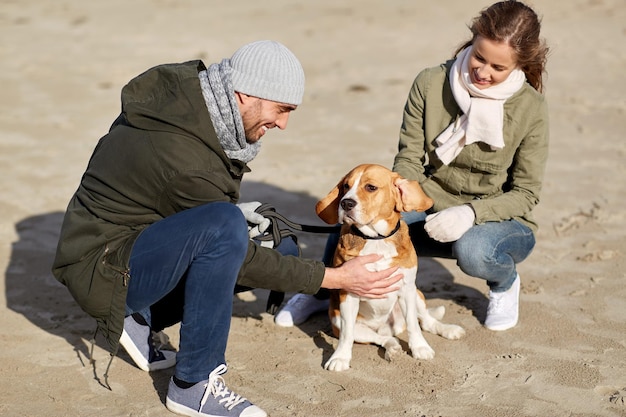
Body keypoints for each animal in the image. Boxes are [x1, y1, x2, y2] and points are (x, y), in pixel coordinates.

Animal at [316, 162, 464, 370]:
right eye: (346, 186)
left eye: (370, 187)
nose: (345, 203)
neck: (376, 239)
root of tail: (387, 328)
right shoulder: (349, 294)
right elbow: (347, 335)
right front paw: (340, 358)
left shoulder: (406, 289)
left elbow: (414, 325)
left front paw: (420, 348)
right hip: (341, 320)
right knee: (381, 339)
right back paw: (392, 349)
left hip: (416, 293)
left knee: (426, 321)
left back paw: (448, 330)